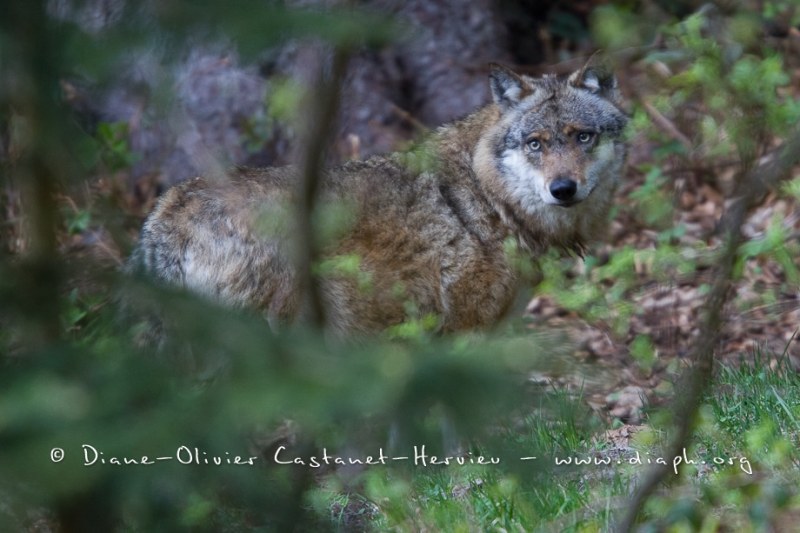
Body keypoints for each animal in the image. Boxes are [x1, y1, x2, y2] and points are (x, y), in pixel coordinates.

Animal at [131, 61, 628, 336]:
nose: (563, 189)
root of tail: (169, 209)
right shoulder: (465, 329)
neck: (490, 199)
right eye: (535, 144)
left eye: (583, 137)